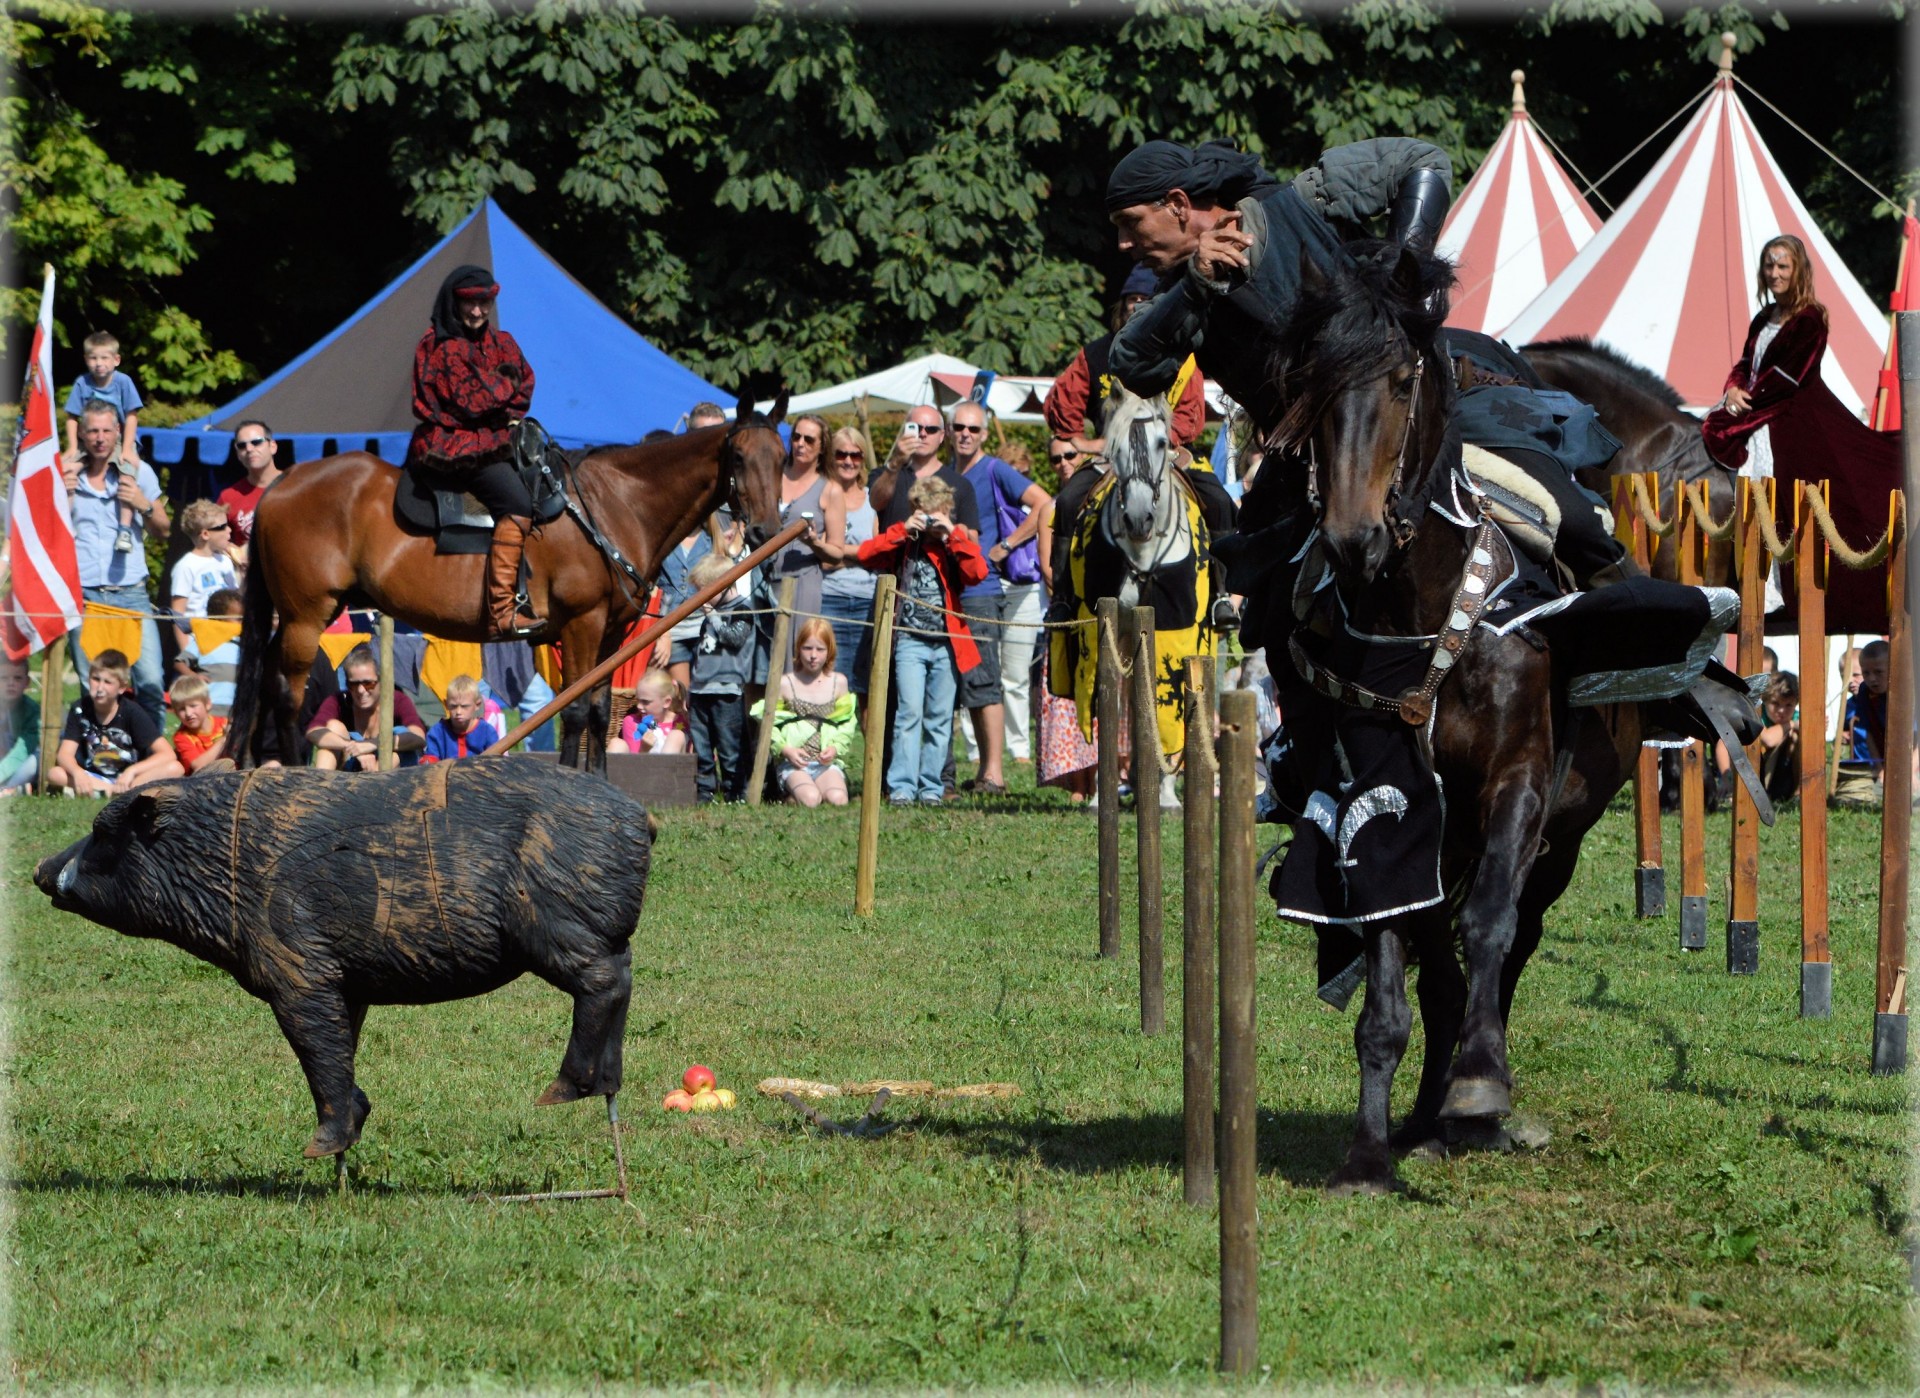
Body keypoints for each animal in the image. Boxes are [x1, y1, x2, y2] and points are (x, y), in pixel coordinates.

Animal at [226, 399, 787, 775]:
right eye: (739, 459)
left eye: (781, 457)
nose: (764, 531)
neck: (615, 505)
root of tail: (280, 484)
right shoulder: (581, 625)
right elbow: (575, 709)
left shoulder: (612, 634)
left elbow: (599, 708)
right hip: (307, 616)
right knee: (287, 694)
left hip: (292, 617)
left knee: (265, 684)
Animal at [1259, 245, 1651, 1198]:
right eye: (1306, 387)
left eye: (1402, 381)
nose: (1352, 540)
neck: (1425, 612)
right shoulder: (1382, 811)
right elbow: (1392, 982)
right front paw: (1370, 1152)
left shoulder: (1518, 787)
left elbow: (1490, 931)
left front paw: (1479, 1085)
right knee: (1441, 970)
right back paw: (1425, 1121)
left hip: (1560, 841)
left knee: (1510, 944)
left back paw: (1470, 1101)